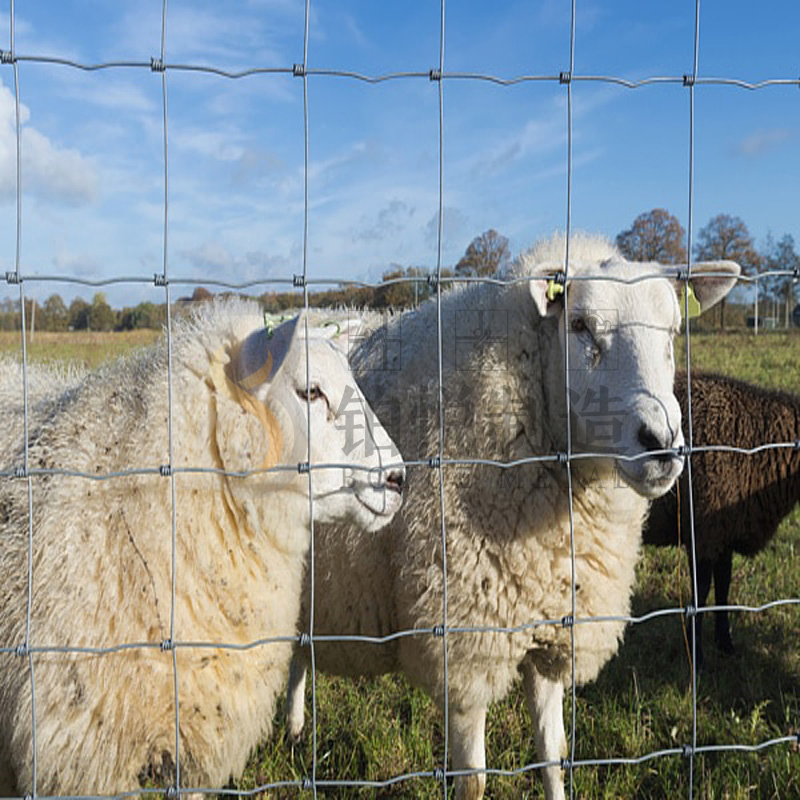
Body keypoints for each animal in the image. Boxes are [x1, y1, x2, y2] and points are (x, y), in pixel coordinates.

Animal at [285, 233, 740, 800]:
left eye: (674, 331)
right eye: (580, 325)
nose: (661, 444)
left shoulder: (551, 627)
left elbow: (553, 756)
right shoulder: (463, 644)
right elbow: (474, 780)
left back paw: (295, 729)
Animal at [644, 370, 800, 668]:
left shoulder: (724, 531)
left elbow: (723, 586)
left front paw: (725, 643)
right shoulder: (704, 531)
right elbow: (701, 592)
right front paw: (697, 656)